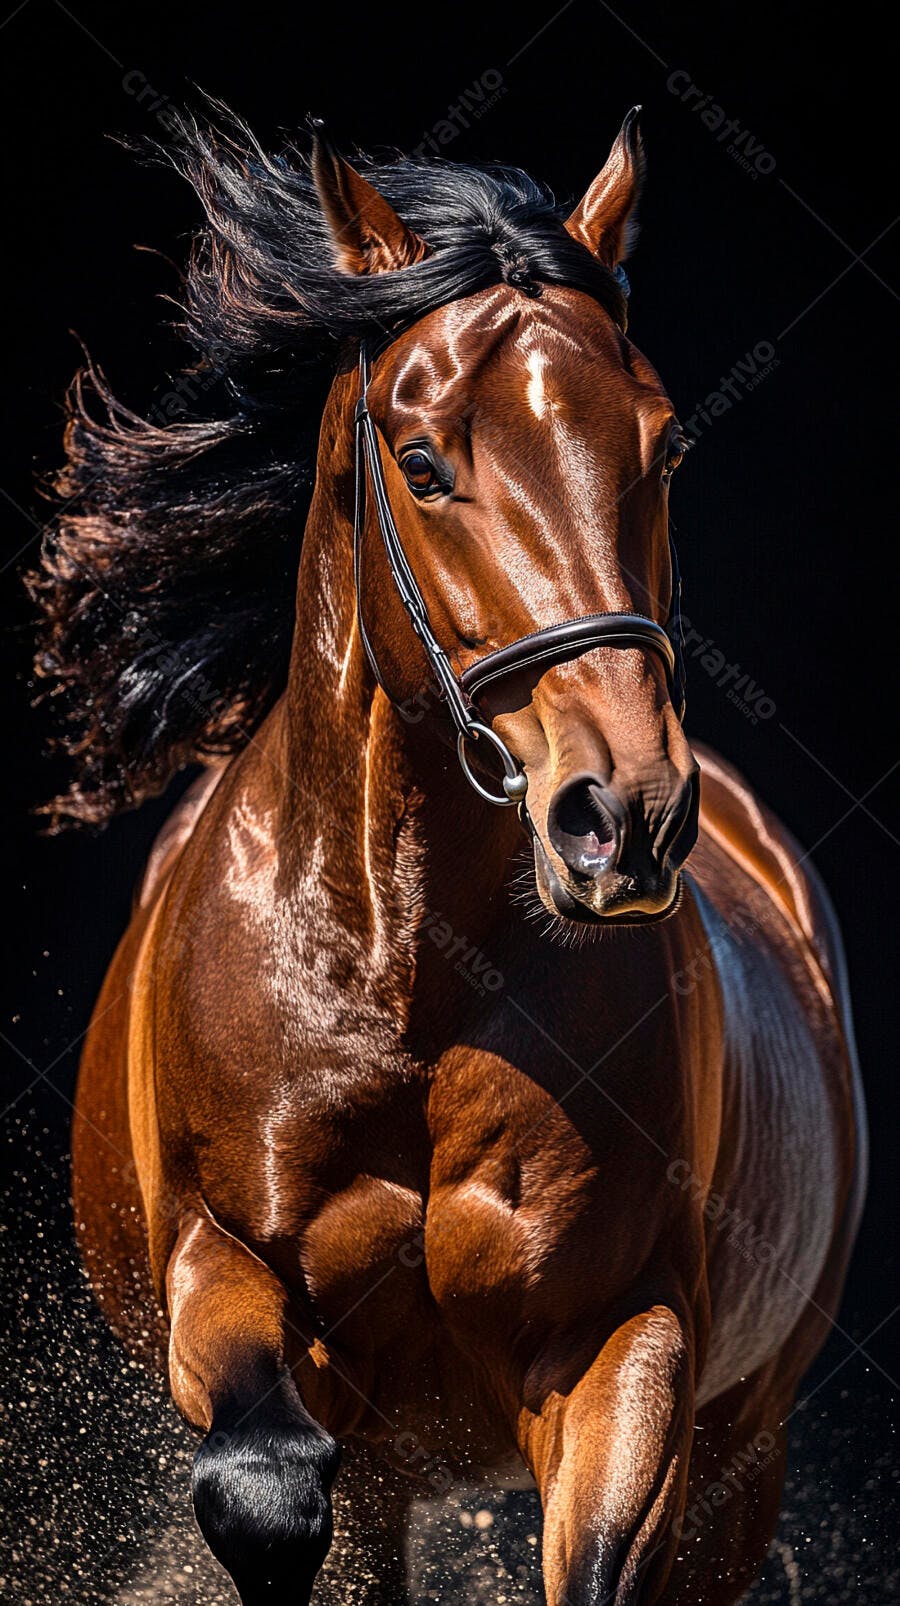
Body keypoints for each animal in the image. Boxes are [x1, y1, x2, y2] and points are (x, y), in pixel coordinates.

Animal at [33, 106, 866, 1605]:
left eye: (662, 450)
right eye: (422, 465)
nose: (627, 813)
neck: (406, 983)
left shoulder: (624, 1342)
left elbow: (593, 1560)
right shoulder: (225, 1273)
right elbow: (267, 1487)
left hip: (746, 1449)